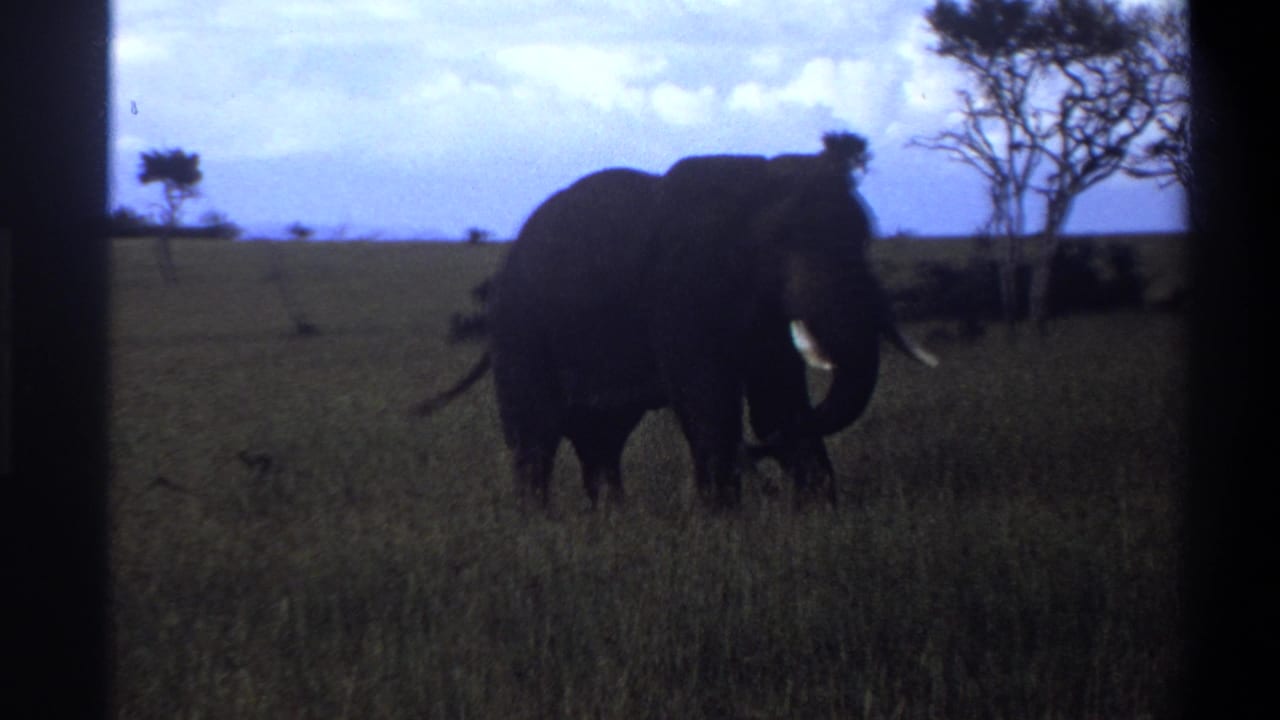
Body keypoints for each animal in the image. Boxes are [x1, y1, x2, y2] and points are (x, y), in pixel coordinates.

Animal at [420, 135, 937, 510]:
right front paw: (723, 523)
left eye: (864, 238)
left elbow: (777, 402)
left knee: (601, 438)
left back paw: (610, 521)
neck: (756, 182)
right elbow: (708, 400)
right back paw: (538, 526)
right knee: (536, 436)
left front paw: (818, 515)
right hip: (520, 328)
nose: (754, 454)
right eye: (787, 242)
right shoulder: (680, 292)